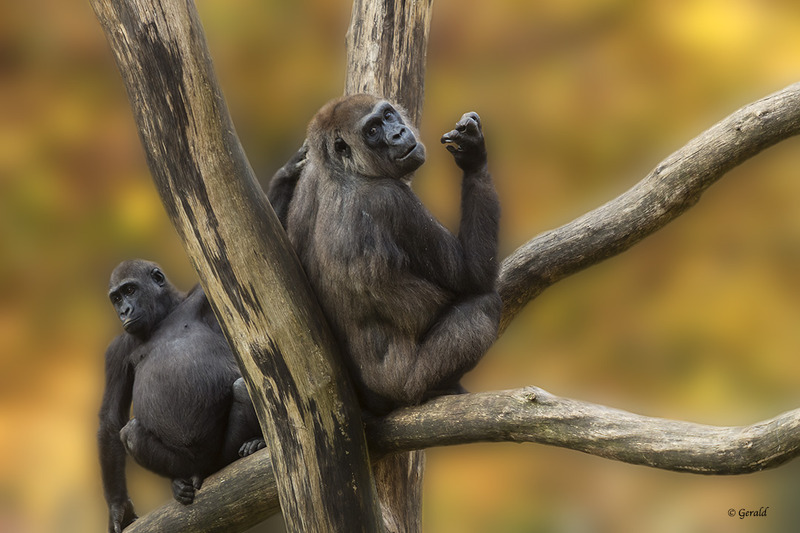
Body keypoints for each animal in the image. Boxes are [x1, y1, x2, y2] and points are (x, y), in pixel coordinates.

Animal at [98, 259, 265, 533]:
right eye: (116, 298)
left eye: (130, 290)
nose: (123, 311)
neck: (162, 317)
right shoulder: (116, 351)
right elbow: (111, 421)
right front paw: (117, 508)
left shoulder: (202, 297)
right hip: (189, 464)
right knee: (130, 433)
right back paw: (178, 481)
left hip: (220, 455)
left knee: (242, 388)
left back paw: (254, 441)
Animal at [268, 94, 501, 414]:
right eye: (373, 131)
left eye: (388, 116)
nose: (398, 134)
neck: (345, 170)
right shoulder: (391, 200)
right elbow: (474, 273)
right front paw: (473, 156)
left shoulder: (309, 175)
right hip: (408, 388)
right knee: (484, 307)